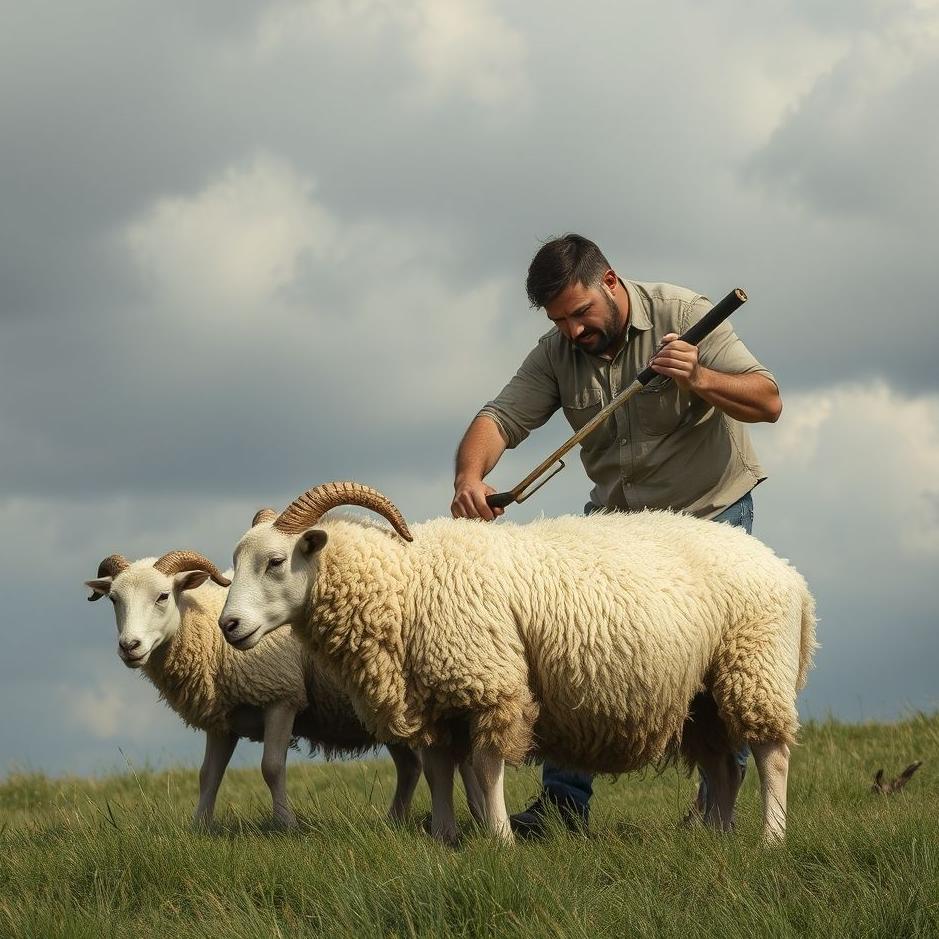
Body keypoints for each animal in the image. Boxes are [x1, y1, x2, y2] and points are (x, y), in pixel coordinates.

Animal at [84, 547, 437, 829]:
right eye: (114, 599)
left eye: (162, 596)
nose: (129, 646)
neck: (209, 632)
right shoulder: (222, 720)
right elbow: (207, 775)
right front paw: (199, 828)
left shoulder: (280, 696)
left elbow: (271, 767)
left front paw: (285, 824)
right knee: (410, 766)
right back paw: (394, 822)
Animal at [218, 482, 817, 844]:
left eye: (276, 562)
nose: (229, 626)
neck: (406, 581)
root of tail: (792, 576)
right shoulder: (432, 700)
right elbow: (438, 769)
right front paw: (443, 836)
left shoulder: (491, 683)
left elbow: (485, 767)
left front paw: (499, 839)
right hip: (705, 695)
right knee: (723, 766)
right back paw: (717, 838)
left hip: (754, 667)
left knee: (771, 756)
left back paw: (771, 839)